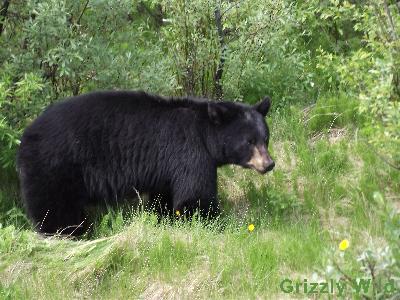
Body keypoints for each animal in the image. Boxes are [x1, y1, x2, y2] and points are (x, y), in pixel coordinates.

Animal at [18, 90, 276, 236]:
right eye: (249, 141)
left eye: (265, 138)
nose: (269, 163)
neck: (205, 134)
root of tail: (24, 138)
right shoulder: (190, 153)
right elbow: (195, 197)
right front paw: (217, 224)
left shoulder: (166, 168)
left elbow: (165, 198)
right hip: (55, 169)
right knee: (55, 211)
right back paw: (67, 235)